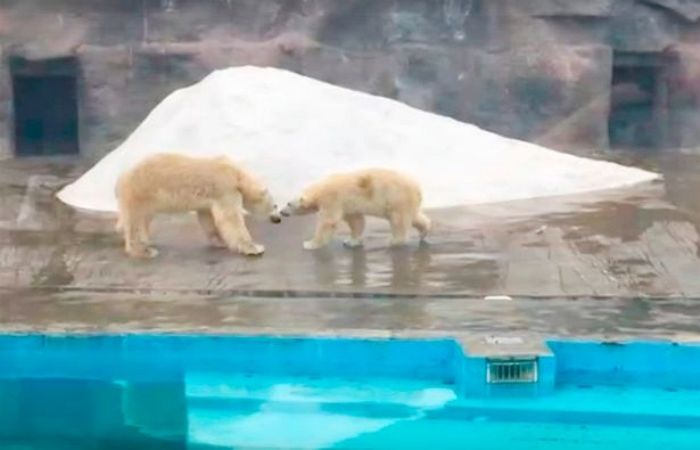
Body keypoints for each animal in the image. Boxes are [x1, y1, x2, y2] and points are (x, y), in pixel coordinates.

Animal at [114, 152, 278, 258]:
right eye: (275, 206)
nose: (278, 219)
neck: (237, 175)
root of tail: (123, 176)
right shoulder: (225, 188)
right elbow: (231, 218)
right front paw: (255, 248)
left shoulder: (210, 199)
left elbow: (207, 217)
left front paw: (220, 242)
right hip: (142, 191)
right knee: (134, 219)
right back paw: (144, 251)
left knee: (144, 218)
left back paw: (146, 240)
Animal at [280, 170, 432, 250]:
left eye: (288, 203)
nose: (281, 212)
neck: (319, 190)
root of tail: (417, 189)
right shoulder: (349, 205)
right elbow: (356, 220)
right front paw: (351, 241)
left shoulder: (332, 199)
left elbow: (328, 221)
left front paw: (310, 243)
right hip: (405, 202)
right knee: (414, 217)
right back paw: (424, 231)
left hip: (396, 198)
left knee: (398, 220)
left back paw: (394, 241)